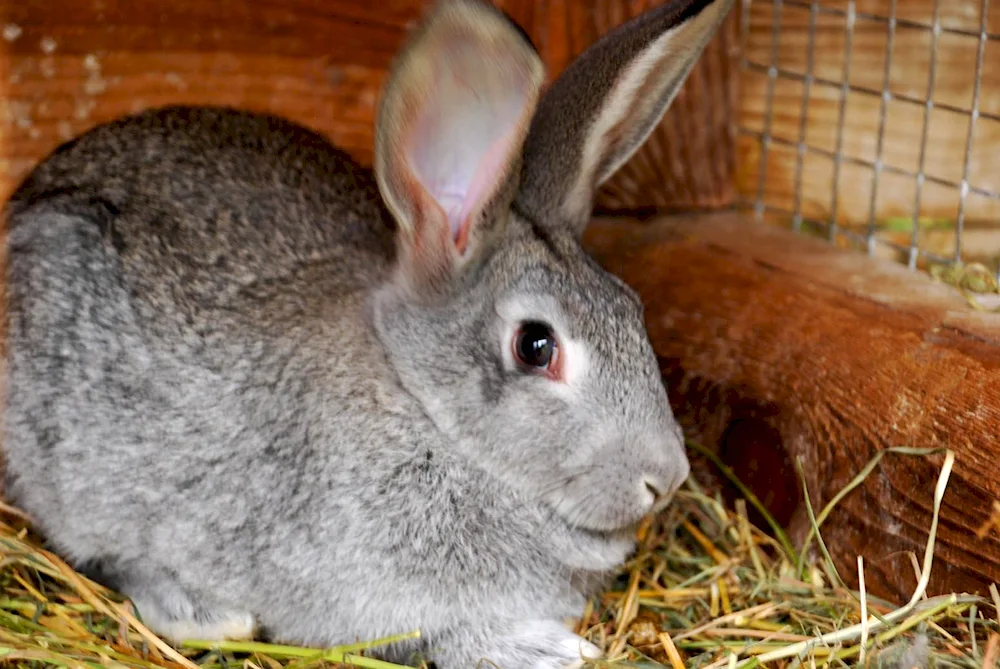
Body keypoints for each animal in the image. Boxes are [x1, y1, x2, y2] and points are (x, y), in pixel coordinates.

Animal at [3, 0, 740, 664]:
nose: (666, 477)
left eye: (633, 309)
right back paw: (203, 611)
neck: (421, 405)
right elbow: (433, 635)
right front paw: (542, 648)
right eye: (536, 347)